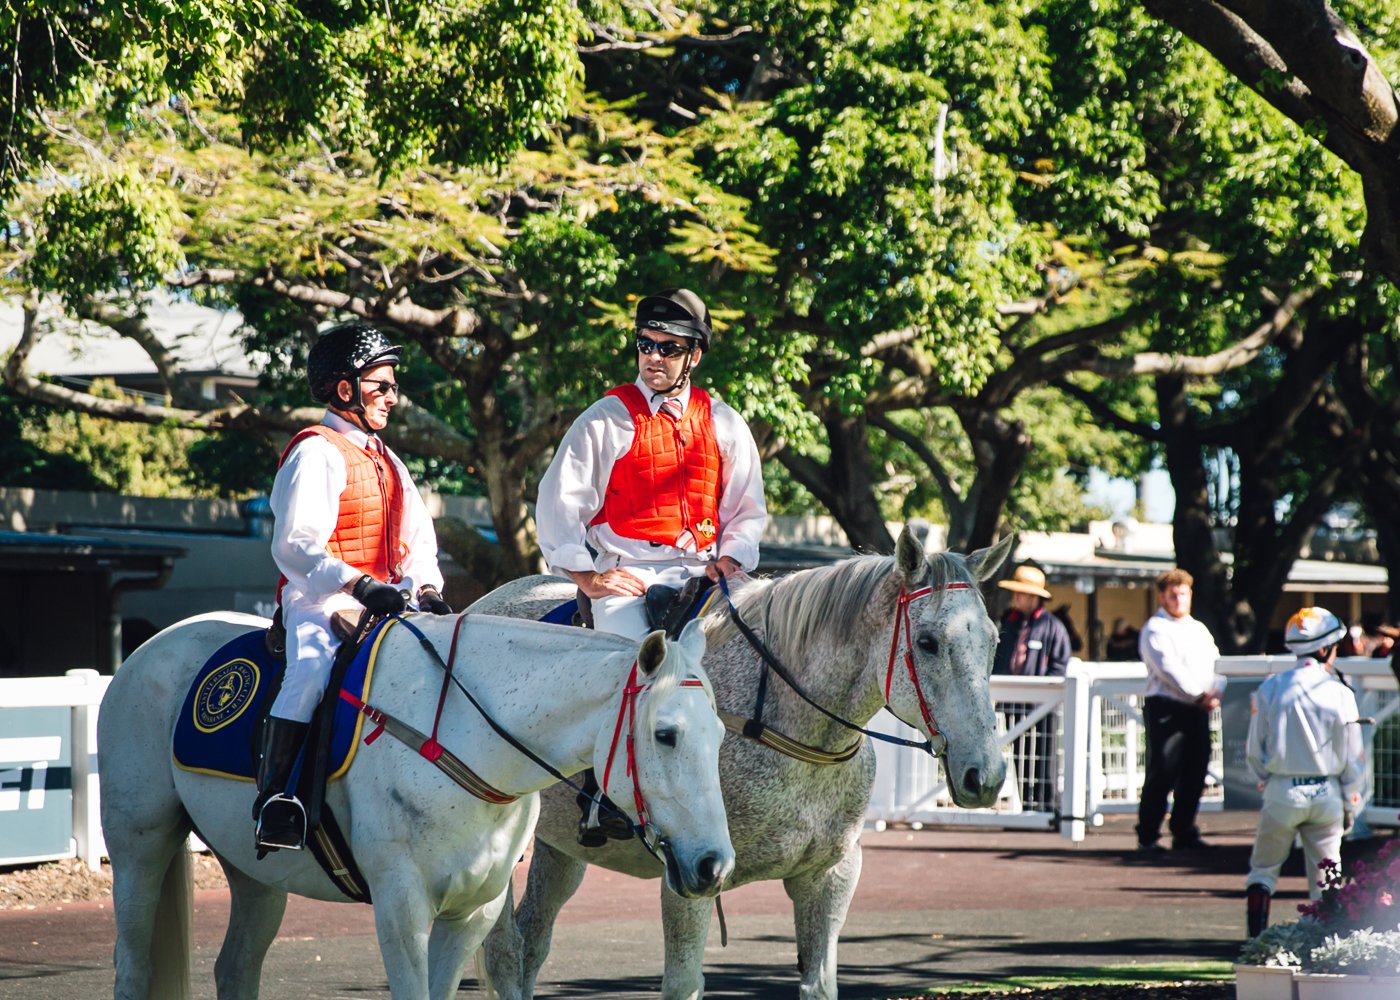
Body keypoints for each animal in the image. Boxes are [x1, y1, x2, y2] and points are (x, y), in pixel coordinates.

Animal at [98, 610, 733, 991]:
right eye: (666, 734)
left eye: (721, 735)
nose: (714, 865)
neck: (460, 737)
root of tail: (151, 645)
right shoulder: (402, 911)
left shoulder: (470, 913)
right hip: (139, 848)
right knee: (132, 965)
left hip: (256, 875)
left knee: (235, 968)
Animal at [476, 526, 1013, 991]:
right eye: (927, 642)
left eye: (993, 641)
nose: (985, 775)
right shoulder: (689, 878)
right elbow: (683, 983)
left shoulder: (829, 878)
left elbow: (819, 982)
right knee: (504, 953)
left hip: (561, 847)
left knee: (530, 943)